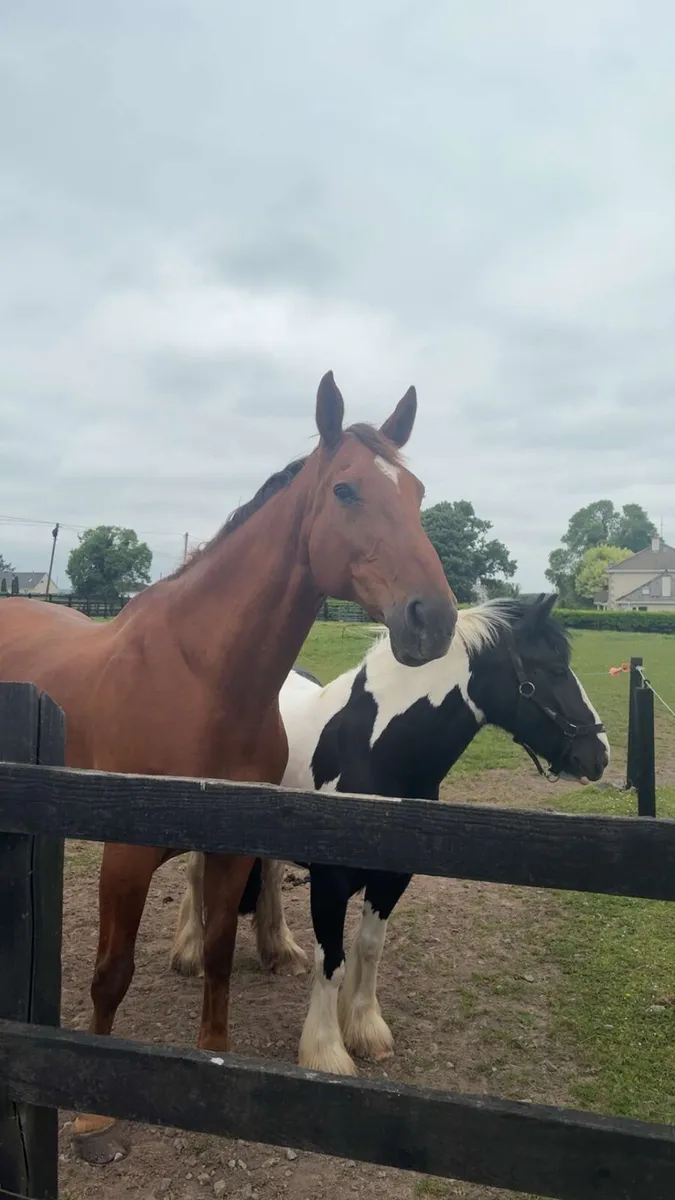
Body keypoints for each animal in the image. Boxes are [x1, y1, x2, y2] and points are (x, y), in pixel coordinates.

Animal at [0, 372, 457, 1162]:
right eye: (346, 490)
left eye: (417, 492)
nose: (434, 619)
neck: (200, 677)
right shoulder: (125, 856)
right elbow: (111, 974)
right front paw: (90, 1114)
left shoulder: (232, 847)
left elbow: (217, 951)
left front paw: (214, 1049)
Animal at [171, 593, 609, 1076]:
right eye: (554, 669)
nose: (598, 755)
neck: (373, 749)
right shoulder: (330, 881)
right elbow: (332, 961)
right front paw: (327, 1051)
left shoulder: (394, 876)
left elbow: (369, 949)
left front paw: (365, 1029)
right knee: (196, 875)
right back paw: (190, 953)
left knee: (268, 875)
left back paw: (280, 951)